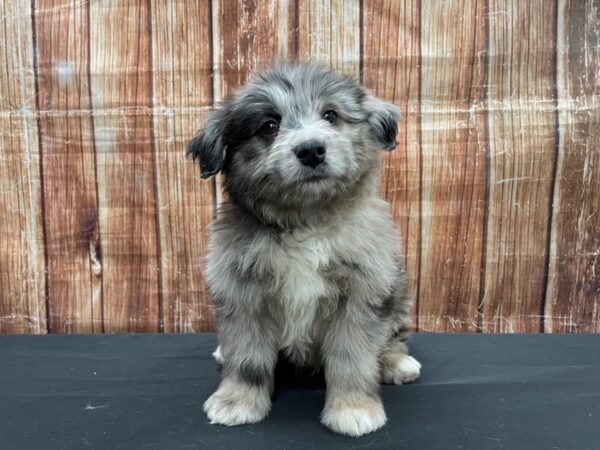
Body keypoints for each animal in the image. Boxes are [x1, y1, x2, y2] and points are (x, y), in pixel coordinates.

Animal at [189, 60, 422, 436]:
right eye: (269, 126)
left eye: (331, 115)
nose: (311, 149)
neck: (306, 221)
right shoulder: (243, 294)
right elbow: (247, 360)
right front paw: (237, 401)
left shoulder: (361, 295)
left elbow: (353, 359)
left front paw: (353, 408)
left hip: (397, 298)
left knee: (392, 338)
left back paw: (396, 363)